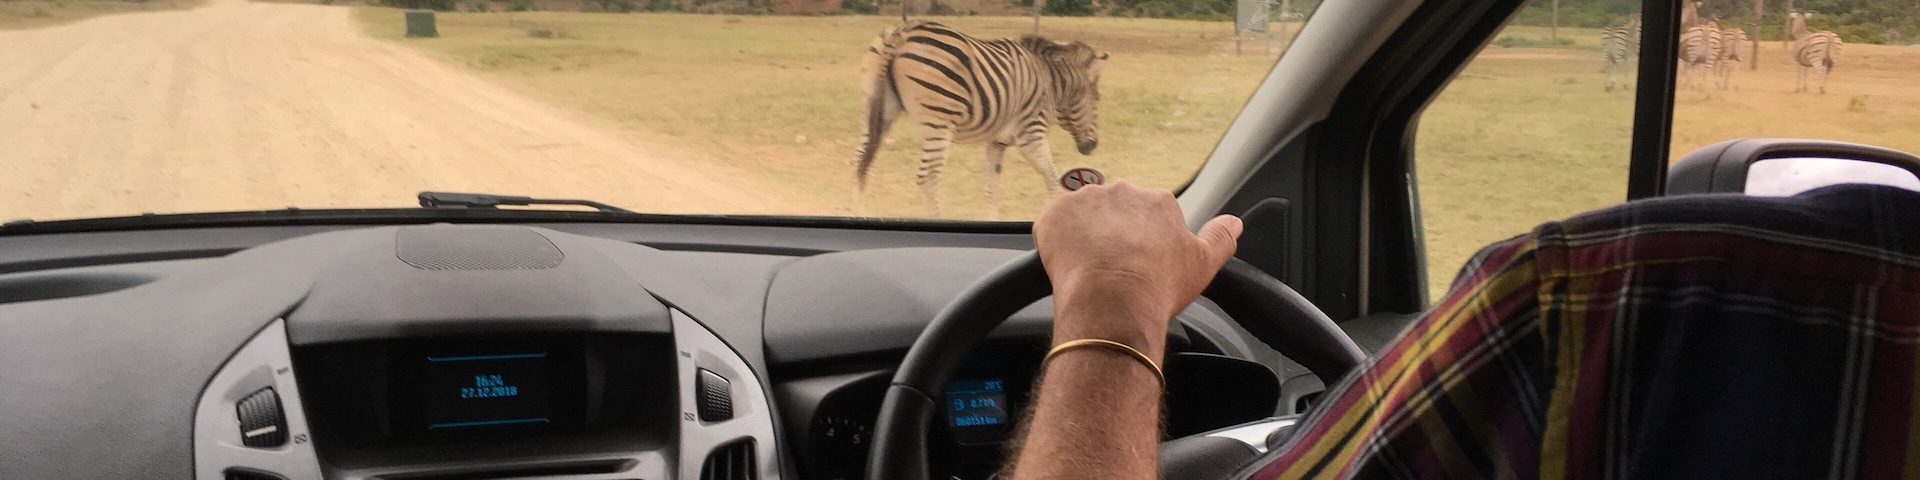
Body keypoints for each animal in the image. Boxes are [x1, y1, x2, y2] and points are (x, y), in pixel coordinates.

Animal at [852, 21, 1108, 218]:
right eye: (1097, 98)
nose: (1093, 145)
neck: (1050, 82)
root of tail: (902, 31)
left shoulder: (997, 142)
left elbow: (994, 192)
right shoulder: (1030, 134)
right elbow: (1052, 178)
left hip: (876, 110)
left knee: (863, 165)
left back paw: (857, 214)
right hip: (939, 123)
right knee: (928, 177)